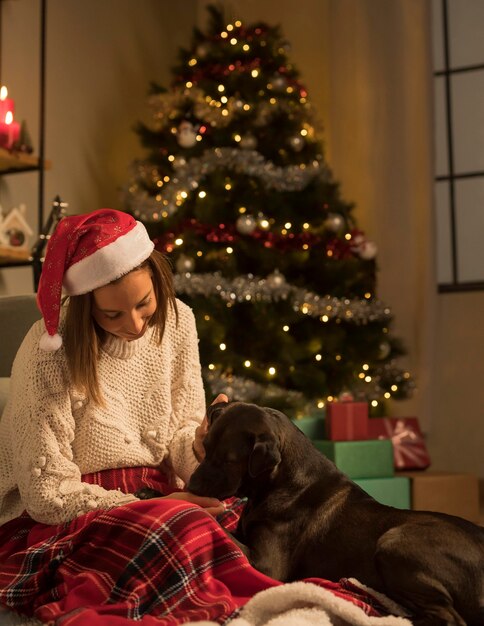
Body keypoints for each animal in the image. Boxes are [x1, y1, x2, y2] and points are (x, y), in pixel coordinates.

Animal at [188, 400, 484, 624]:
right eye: (205, 447)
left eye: (228, 460)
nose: (190, 486)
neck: (279, 482)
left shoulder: (267, 566)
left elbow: (219, 526)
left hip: (393, 541)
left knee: (449, 618)